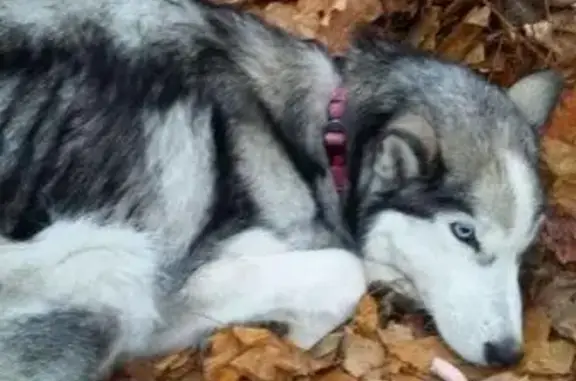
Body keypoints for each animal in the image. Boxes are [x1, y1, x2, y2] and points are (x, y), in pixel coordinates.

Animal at [0, 0, 564, 378]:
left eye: (525, 247)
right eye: (464, 233)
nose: (507, 355)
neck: (324, 140)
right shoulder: (179, 290)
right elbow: (343, 272)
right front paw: (298, 339)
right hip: (112, 263)